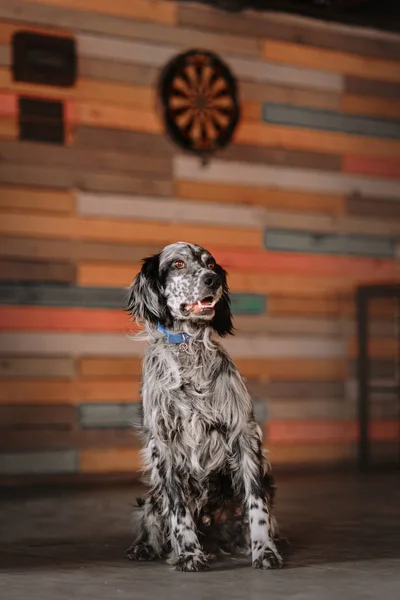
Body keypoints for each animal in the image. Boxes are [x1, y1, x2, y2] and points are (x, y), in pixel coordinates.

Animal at [126, 240, 282, 572]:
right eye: (178, 264)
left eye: (211, 264)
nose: (213, 279)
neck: (189, 349)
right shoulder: (163, 445)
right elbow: (178, 509)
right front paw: (188, 554)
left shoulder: (243, 434)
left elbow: (257, 506)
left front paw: (264, 550)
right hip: (152, 493)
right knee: (152, 515)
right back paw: (146, 547)